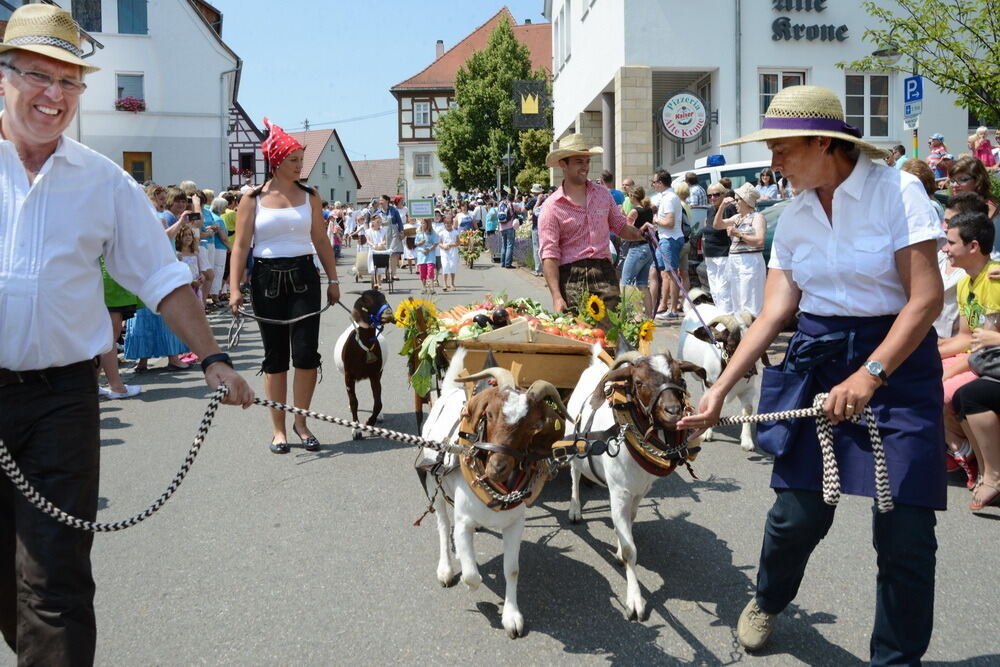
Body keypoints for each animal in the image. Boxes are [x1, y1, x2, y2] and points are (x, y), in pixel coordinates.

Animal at [338, 290, 396, 438]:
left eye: (384, 297)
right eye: (367, 301)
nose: (388, 313)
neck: (364, 347)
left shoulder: (375, 374)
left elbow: (378, 402)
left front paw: (370, 422)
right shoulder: (348, 376)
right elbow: (354, 402)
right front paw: (356, 429)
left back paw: (379, 416)